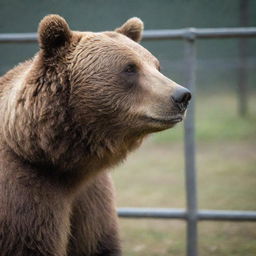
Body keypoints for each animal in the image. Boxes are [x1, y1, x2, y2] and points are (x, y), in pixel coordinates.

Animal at [0, 14, 190, 256]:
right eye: (130, 68)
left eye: (156, 65)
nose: (182, 96)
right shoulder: (23, 193)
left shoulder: (92, 199)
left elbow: (97, 243)